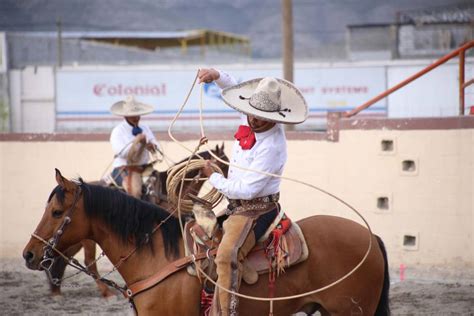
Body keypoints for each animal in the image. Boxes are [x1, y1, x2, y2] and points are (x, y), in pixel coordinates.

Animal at [44, 144, 228, 298]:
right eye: (223, 163)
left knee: (64, 257)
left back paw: (56, 288)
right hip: (87, 239)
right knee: (88, 262)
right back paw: (105, 292)